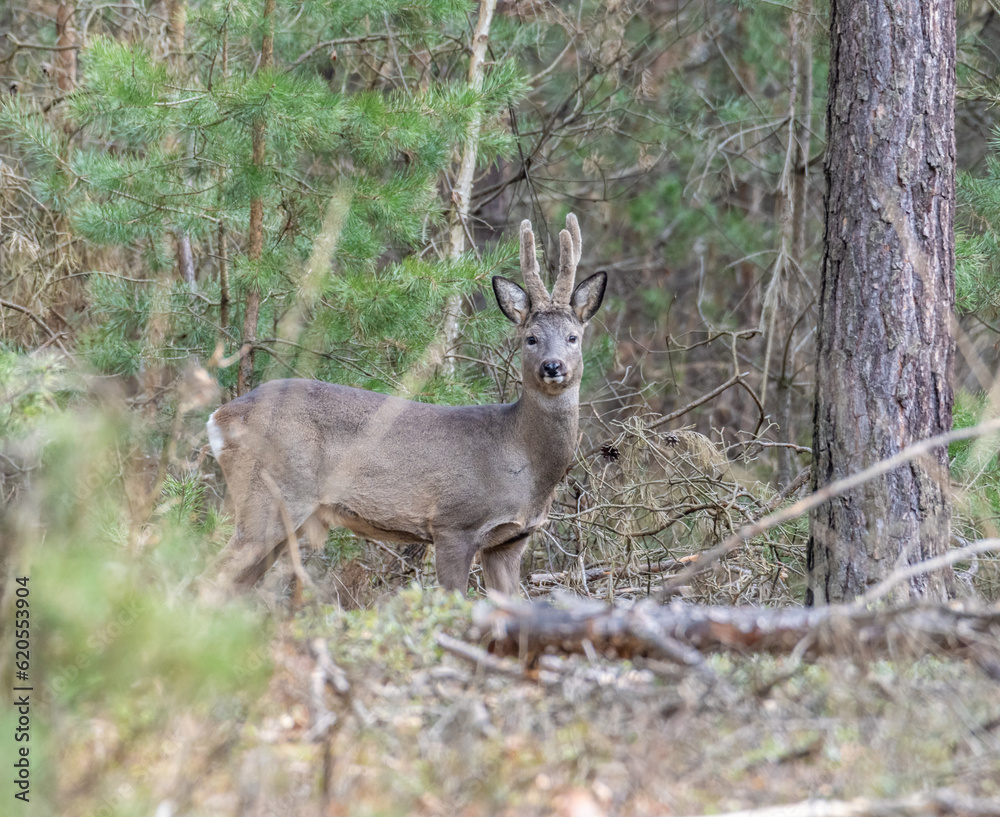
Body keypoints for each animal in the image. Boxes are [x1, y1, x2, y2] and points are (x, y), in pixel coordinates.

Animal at [204, 214, 606, 597]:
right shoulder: (453, 523)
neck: (522, 460)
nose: (553, 367)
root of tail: (219, 416)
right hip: (270, 496)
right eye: (530, 338)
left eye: (573, 337)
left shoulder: (511, 540)